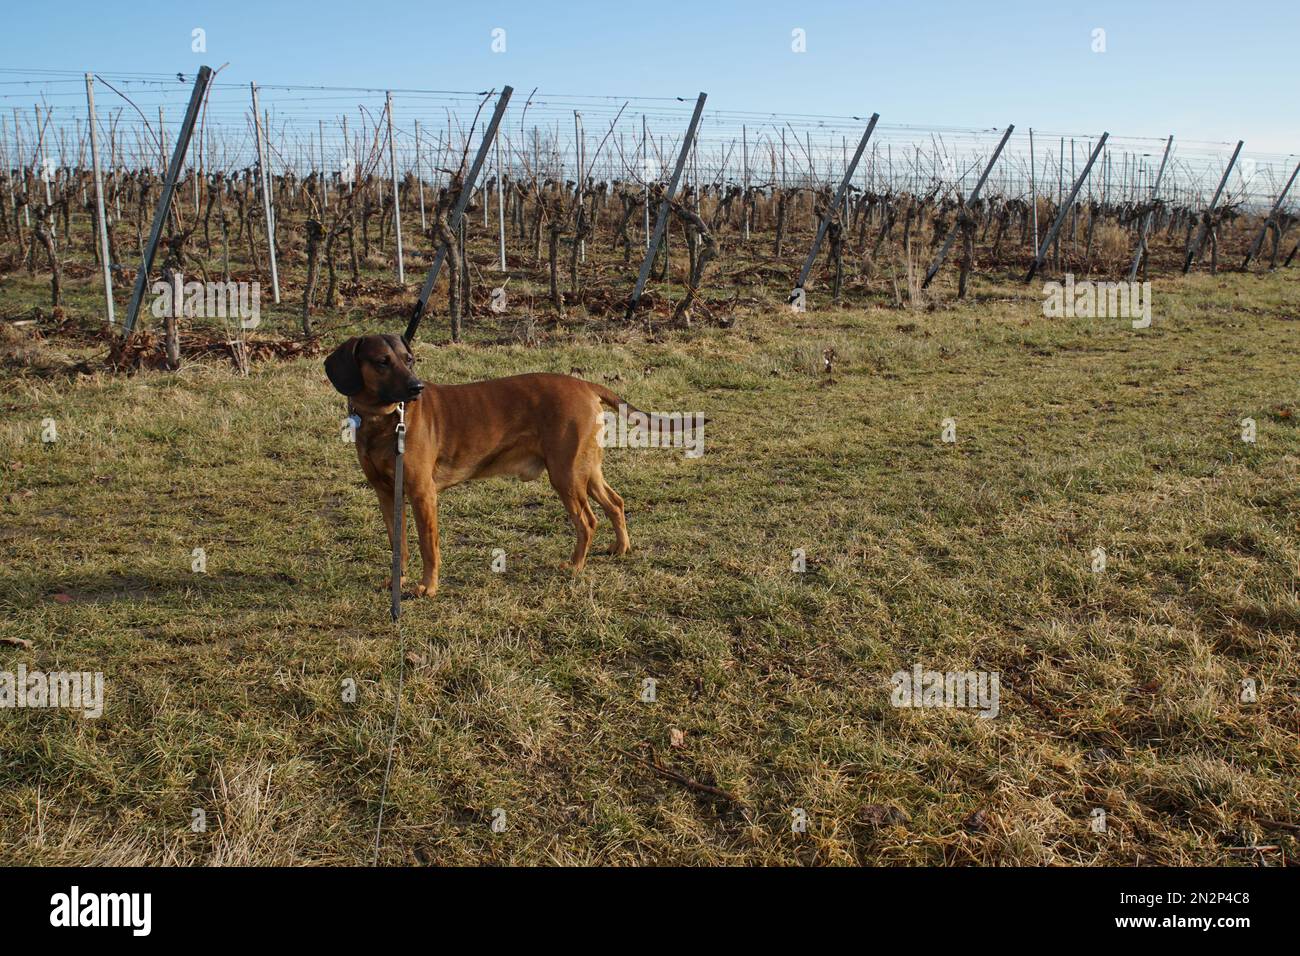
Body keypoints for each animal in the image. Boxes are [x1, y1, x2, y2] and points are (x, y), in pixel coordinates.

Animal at [323, 332, 629, 595]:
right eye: (382, 361)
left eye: (408, 359)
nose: (416, 387)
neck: (384, 419)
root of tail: (586, 385)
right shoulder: (386, 493)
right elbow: (397, 542)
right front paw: (398, 580)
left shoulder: (422, 493)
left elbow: (428, 545)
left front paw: (428, 586)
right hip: (586, 471)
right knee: (615, 502)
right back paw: (620, 547)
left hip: (566, 475)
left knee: (587, 522)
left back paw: (576, 565)